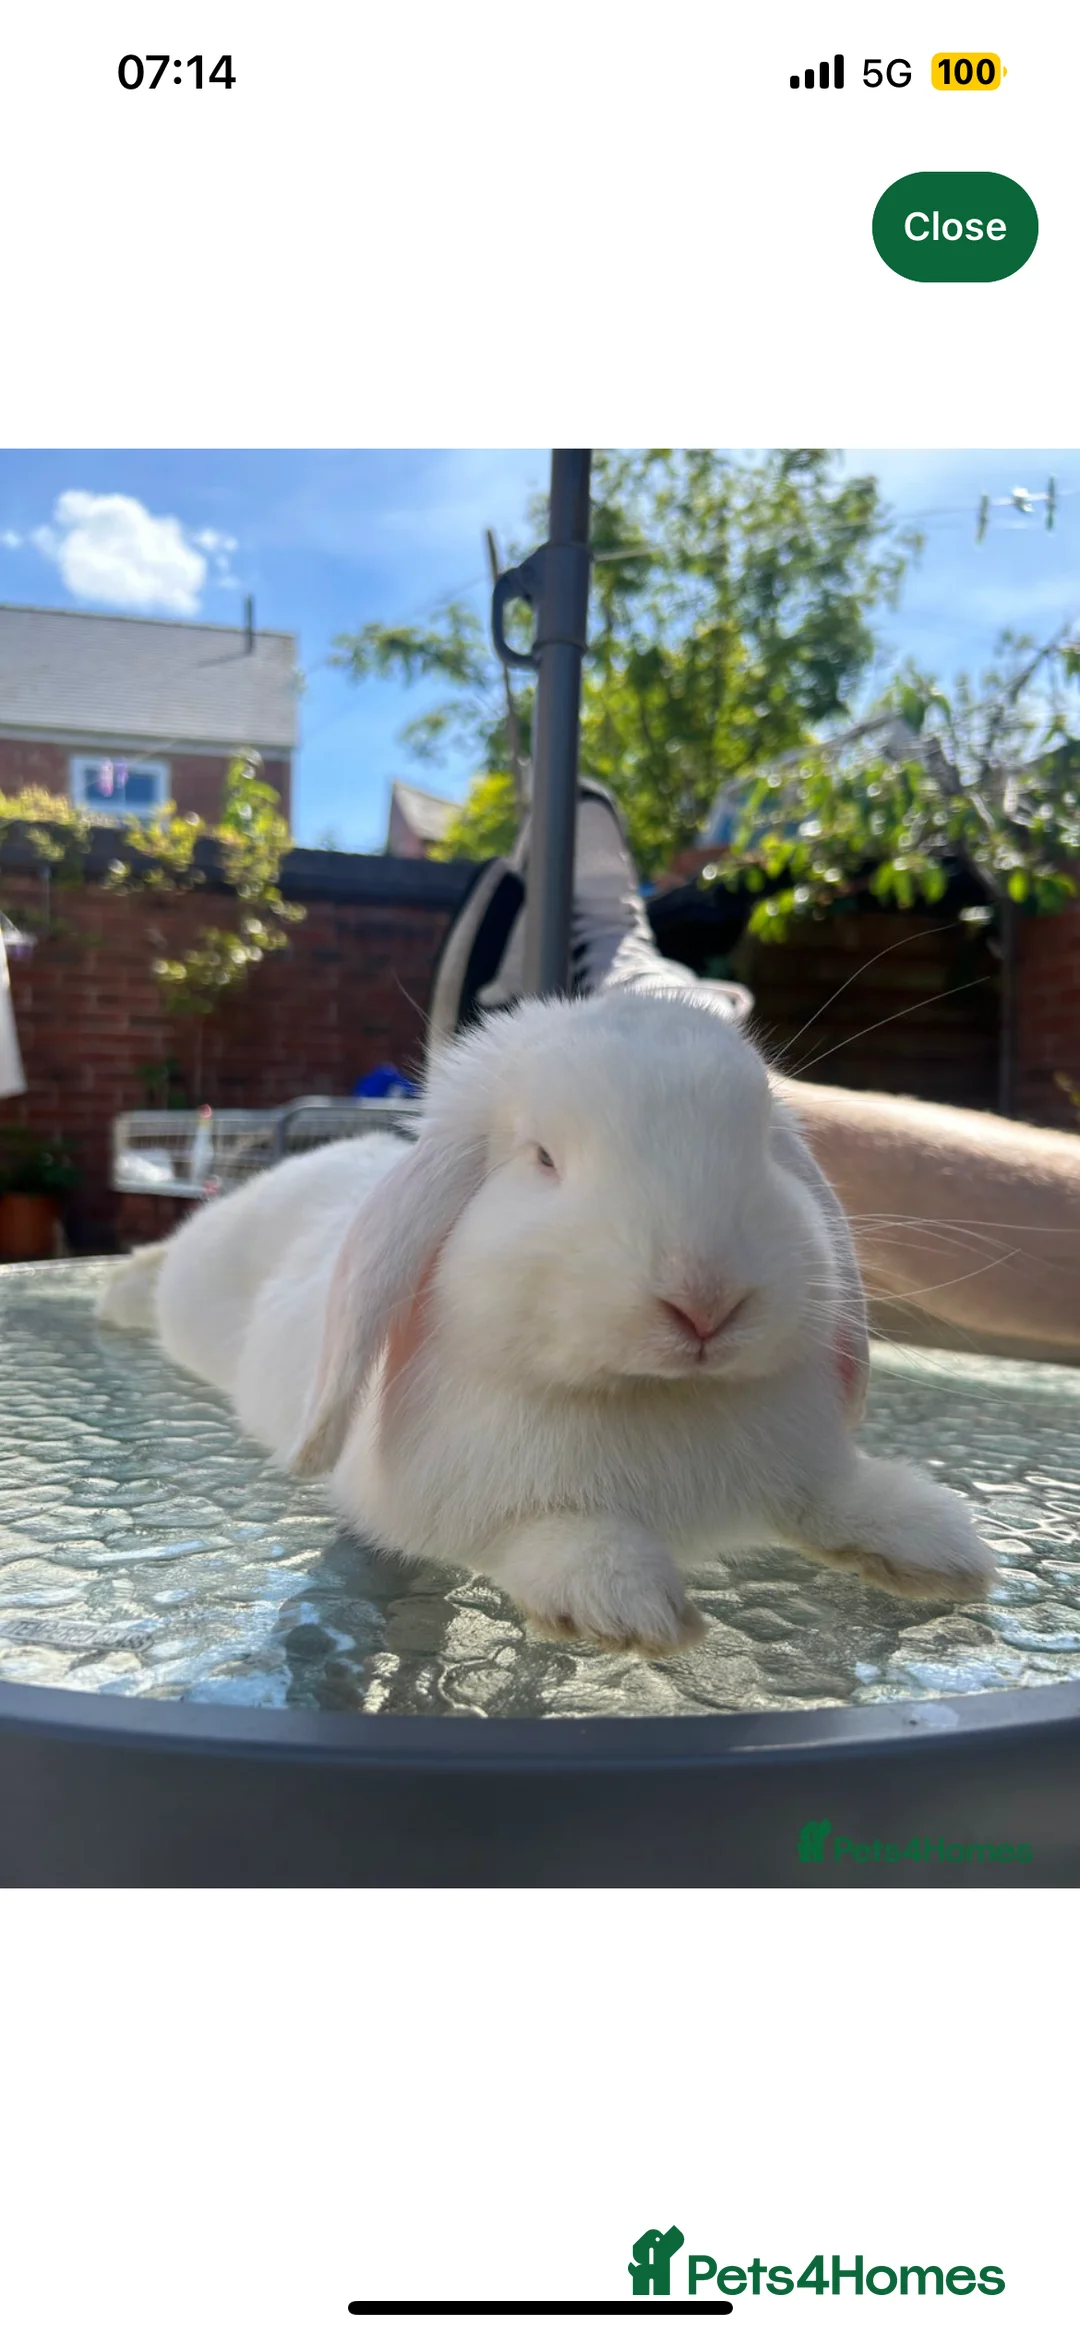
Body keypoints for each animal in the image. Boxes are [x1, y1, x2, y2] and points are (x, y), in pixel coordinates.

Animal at [97, 989, 997, 1655]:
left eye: (763, 1148)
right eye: (542, 1159)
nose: (705, 1300)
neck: (657, 1398)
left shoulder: (804, 1468)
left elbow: (835, 1499)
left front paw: (940, 1544)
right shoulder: (462, 1508)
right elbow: (545, 1533)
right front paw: (632, 1608)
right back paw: (116, 1290)